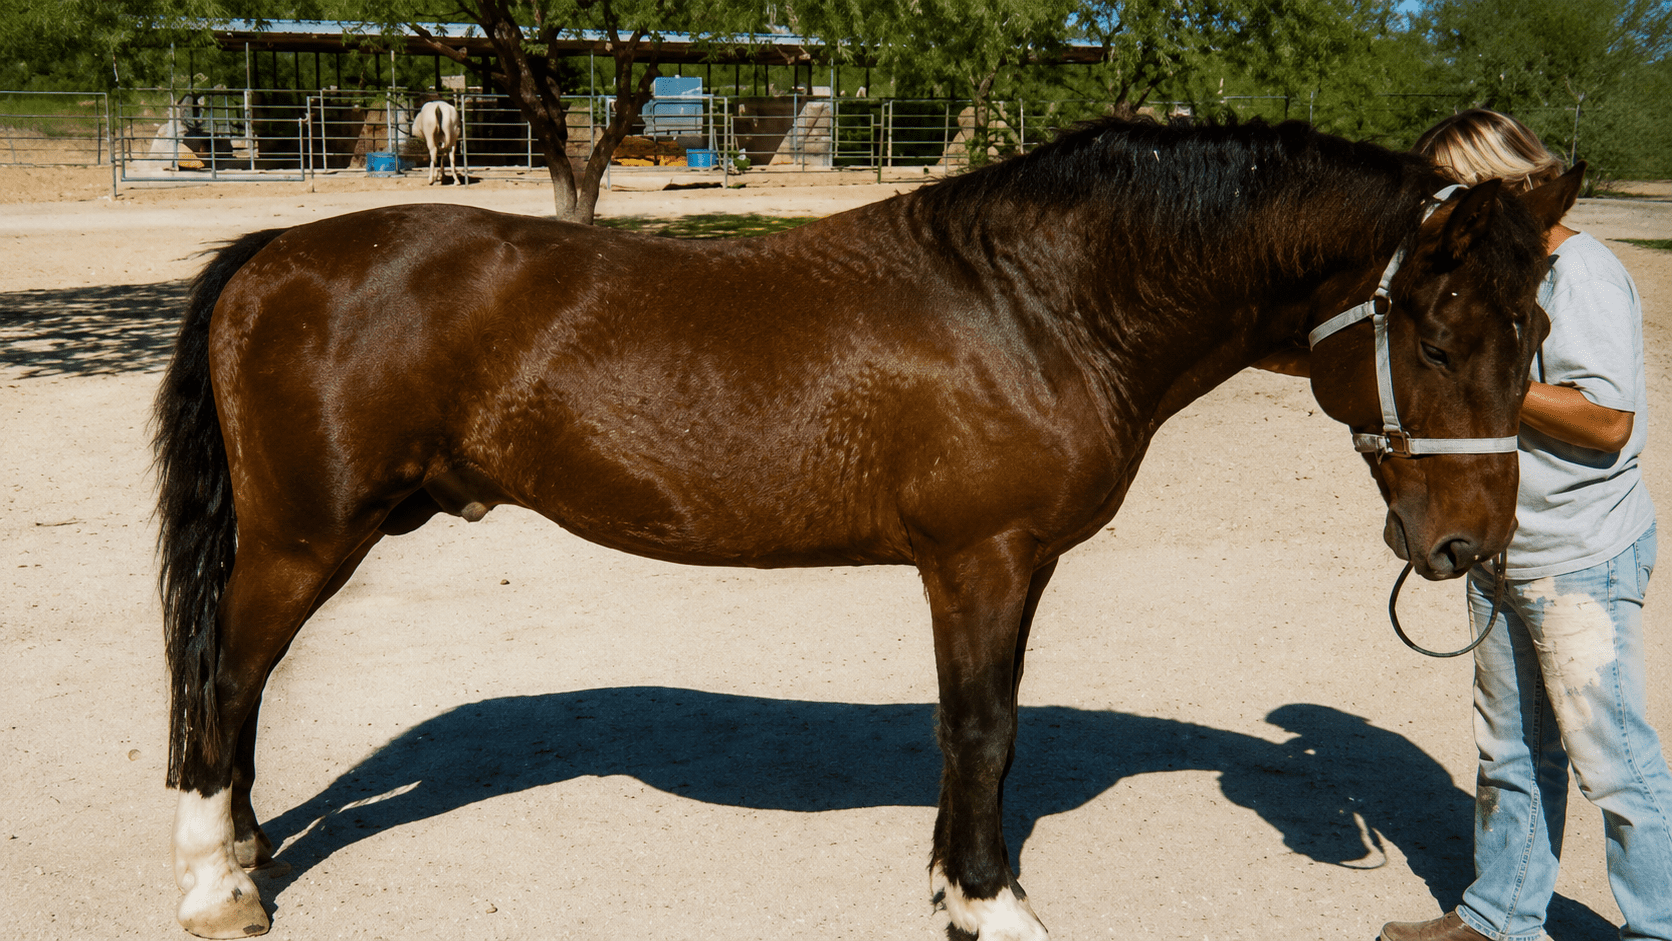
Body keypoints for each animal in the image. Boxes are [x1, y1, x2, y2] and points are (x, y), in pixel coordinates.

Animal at [153, 118, 1580, 940]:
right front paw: (991, 902)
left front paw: (956, 883)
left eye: (1537, 335)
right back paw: (220, 885)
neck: (1035, 302)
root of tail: (277, 252)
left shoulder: (999, 568)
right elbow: (983, 730)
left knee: (242, 688)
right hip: (304, 538)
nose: (1467, 549)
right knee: (225, 680)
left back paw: (248, 846)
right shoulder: (980, 560)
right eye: (1436, 336)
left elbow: (979, 727)